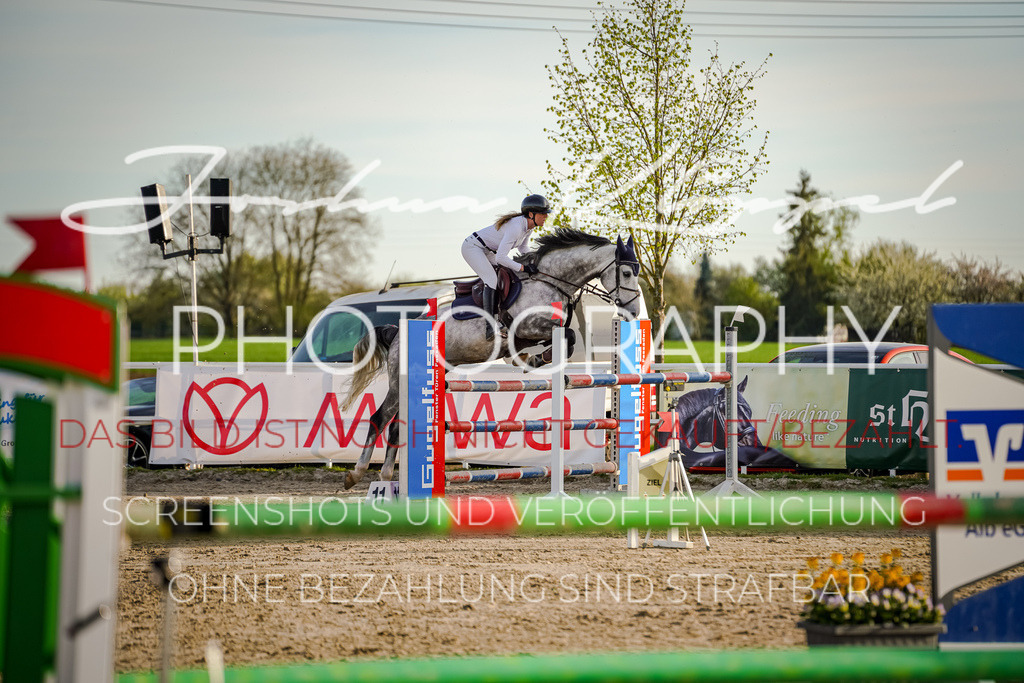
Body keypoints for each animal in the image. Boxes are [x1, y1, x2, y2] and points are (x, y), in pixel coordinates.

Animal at [342, 232, 638, 489]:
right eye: (626, 273)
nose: (633, 311)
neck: (549, 282)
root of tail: (397, 333)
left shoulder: (532, 333)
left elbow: (567, 337)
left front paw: (532, 359)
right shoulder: (528, 326)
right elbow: (566, 334)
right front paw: (532, 359)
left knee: (395, 427)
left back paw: (386, 477)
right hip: (399, 382)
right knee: (380, 418)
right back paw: (356, 474)